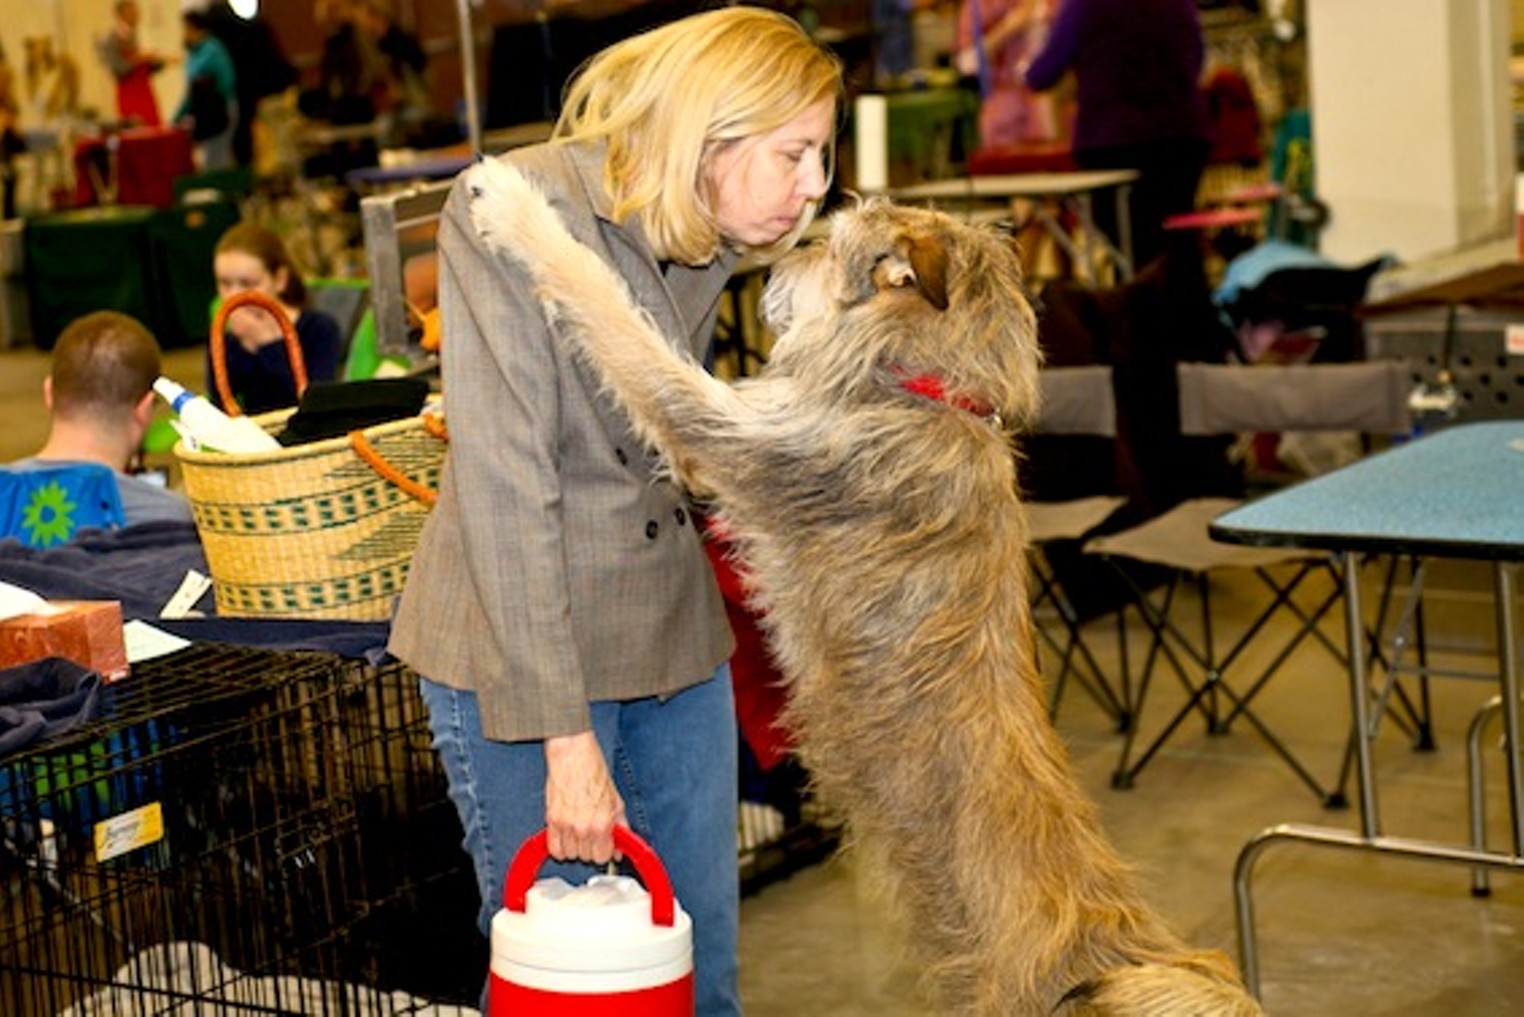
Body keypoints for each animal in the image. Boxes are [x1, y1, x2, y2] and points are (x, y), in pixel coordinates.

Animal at [472, 159, 1261, 1017]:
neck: (921, 386)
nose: (768, 264)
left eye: (830, 247)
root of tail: (1119, 957)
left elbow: (615, 315)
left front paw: (512, 206)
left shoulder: (721, 433)